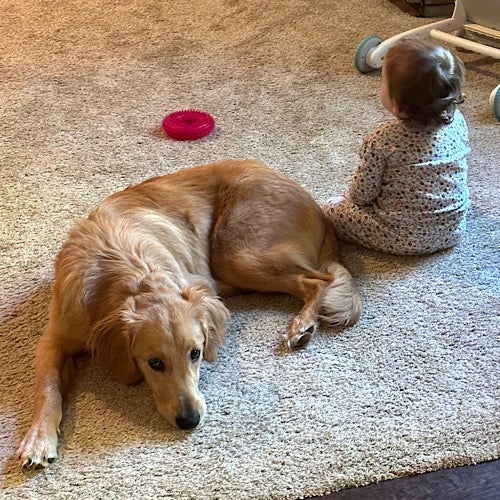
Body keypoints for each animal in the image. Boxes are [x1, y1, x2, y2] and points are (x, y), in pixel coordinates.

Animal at [18, 160, 364, 468]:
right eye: (154, 363)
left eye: (195, 353)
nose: (190, 420)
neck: (119, 274)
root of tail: (314, 205)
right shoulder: (55, 336)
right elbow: (47, 386)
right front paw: (38, 438)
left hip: (237, 253)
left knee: (319, 280)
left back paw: (302, 326)